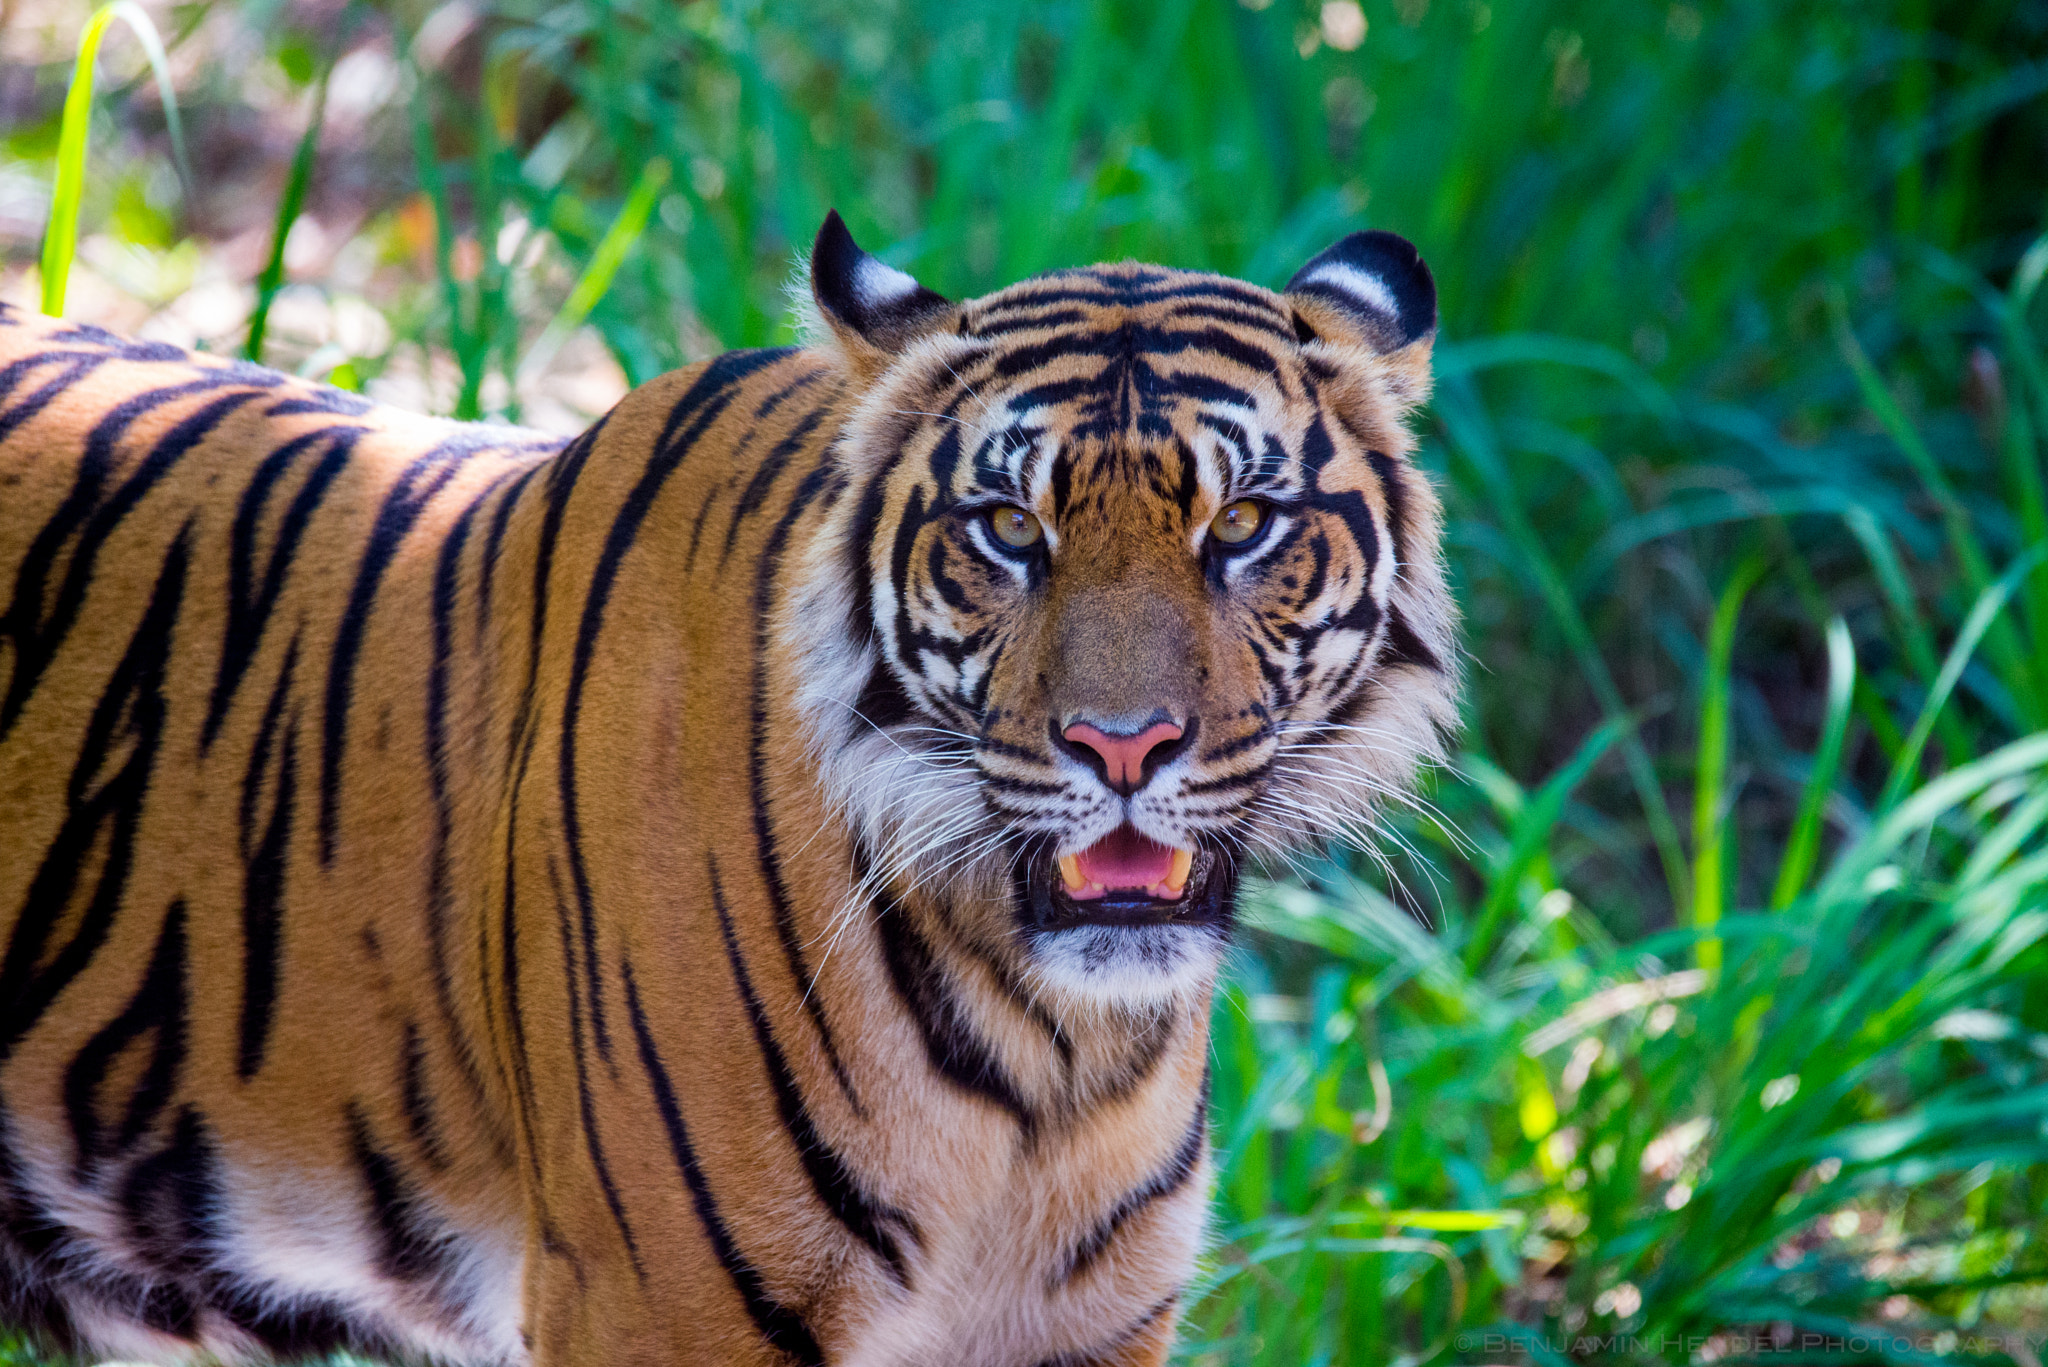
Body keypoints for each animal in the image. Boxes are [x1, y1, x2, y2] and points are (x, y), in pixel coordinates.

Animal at [0, 211, 1458, 1367]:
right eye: (1008, 529)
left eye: (1243, 523)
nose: (1122, 745)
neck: (1051, 1058)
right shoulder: (659, 1303)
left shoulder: (1086, 1321)